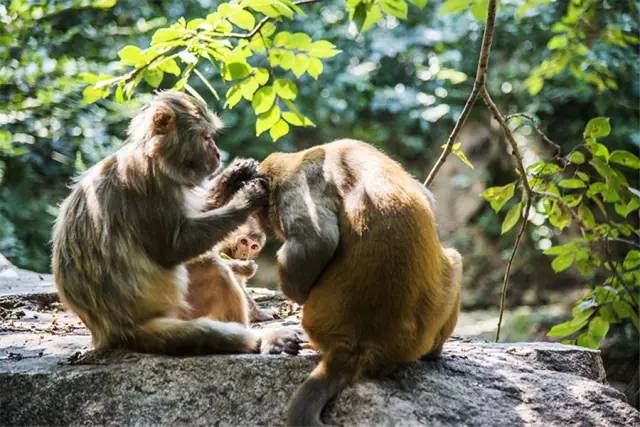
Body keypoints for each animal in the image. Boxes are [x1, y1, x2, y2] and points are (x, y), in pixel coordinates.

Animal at [51, 93, 298, 358]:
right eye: (205, 137)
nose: (217, 153)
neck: (153, 157)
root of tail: (109, 333)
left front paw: (235, 176)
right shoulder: (150, 183)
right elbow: (172, 249)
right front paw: (247, 198)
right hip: (169, 316)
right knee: (212, 272)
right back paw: (259, 338)